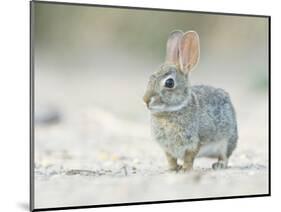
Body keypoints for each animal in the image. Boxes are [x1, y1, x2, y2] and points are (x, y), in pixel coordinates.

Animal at [142, 29, 236, 171]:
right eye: (150, 78)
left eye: (169, 83)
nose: (145, 100)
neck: (171, 111)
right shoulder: (167, 149)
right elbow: (171, 159)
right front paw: (173, 169)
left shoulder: (194, 142)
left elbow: (189, 158)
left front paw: (185, 169)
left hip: (227, 141)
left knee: (225, 156)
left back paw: (218, 165)